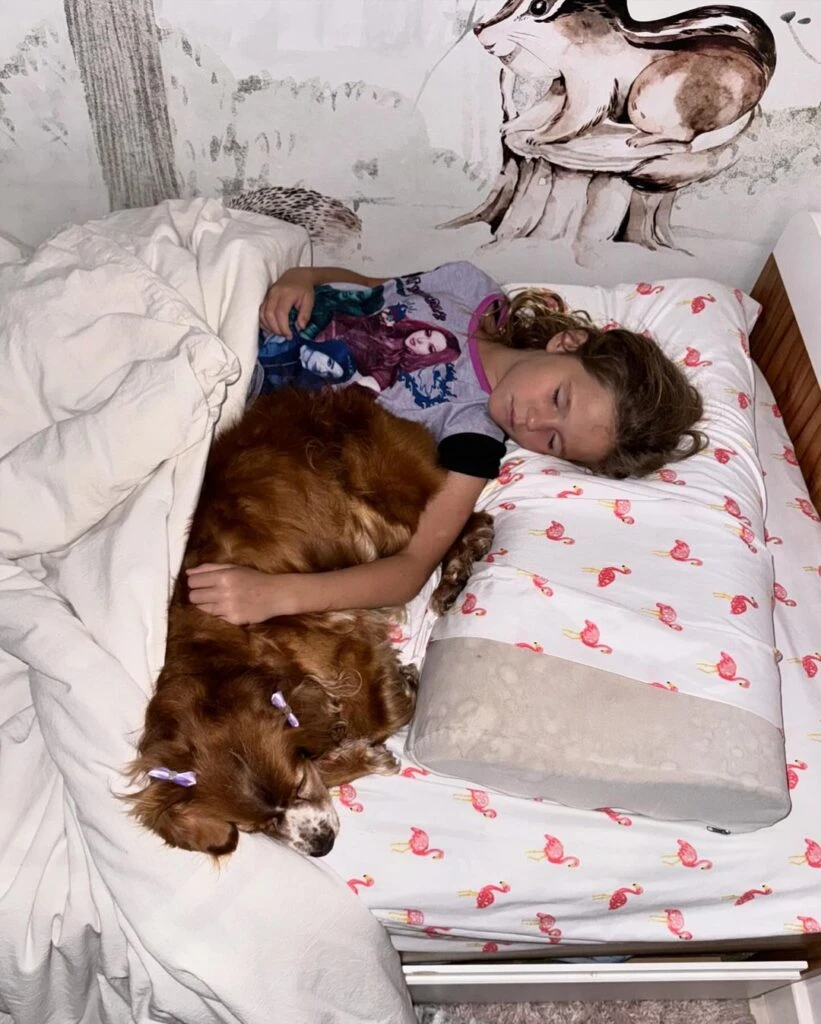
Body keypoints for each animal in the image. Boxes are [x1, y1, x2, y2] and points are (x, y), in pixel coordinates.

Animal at [126, 385, 493, 858]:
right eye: (257, 827)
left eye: (298, 785)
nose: (321, 847)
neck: (223, 654)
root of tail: (352, 394)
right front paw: (361, 754)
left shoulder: (345, 640)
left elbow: (372, 718)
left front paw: (398, 699)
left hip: (388, 500)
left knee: (459, 524)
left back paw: (456, 570)